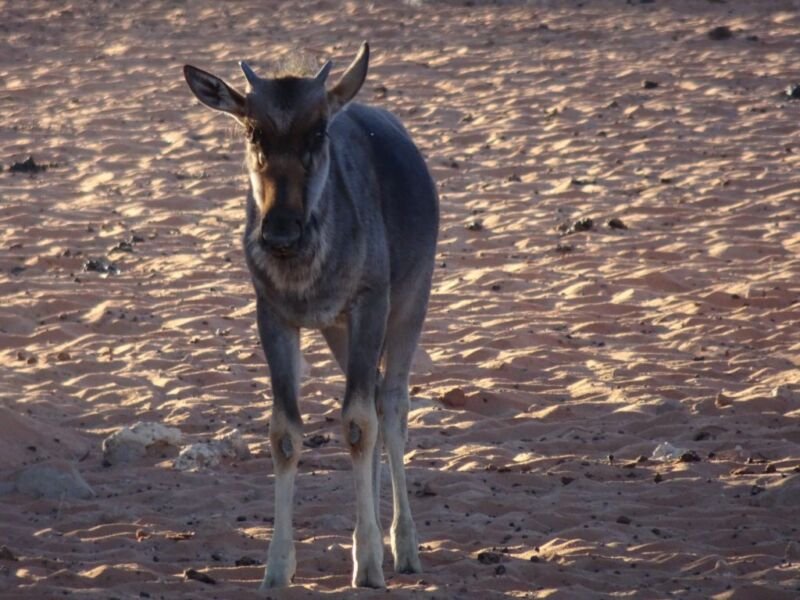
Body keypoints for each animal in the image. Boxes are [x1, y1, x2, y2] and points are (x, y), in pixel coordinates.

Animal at [183, 43, 439, 589]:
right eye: (252, 129)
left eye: (319, 130)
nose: (280, 231)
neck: (306, 274)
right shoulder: (274, 315)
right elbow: (285, 432)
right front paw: (277, 567)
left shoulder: (369, 301)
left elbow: (358, 422)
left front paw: (369, 564)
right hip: (338, 332)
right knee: (377, 399)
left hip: (410, 300)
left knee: (392, 403)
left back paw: (403, 547)